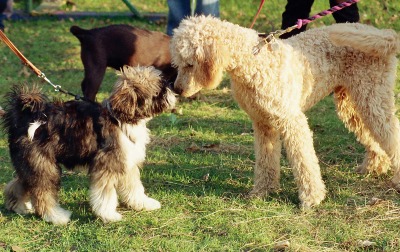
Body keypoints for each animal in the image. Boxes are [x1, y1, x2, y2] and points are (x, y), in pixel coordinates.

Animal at [2, 65, 176, 224]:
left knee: (18, 184)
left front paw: (143, 203)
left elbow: (135, 187)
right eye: (159, 90)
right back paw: (56, 216)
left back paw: (19, 206)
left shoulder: (127, 162)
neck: (120, 118)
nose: (170, 87)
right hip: (44, 166)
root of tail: (22, 120)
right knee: (42, 193)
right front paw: (108, 215)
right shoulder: (107, 164)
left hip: (30, 165)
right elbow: (105, 194)